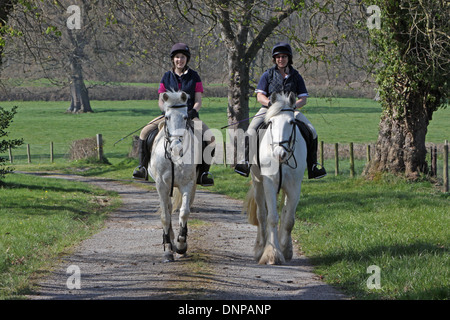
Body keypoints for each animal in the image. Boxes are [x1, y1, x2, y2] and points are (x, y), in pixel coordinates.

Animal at [149, 90, 197, 262]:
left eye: (185, 117)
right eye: (167, 117)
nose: (177, 148)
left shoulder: (187, 184)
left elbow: (184, 212)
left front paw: (181, 244)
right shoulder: (161, 186)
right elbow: (165, 216)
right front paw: (168, 249)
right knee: (168, 210)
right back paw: (169, 241)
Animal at [244, 92, 308, 264]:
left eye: (291, 122)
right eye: (271, 122)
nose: (280, 153)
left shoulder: (294, 187)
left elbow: (288, 220)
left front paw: (285, 250)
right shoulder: (269, 184)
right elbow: (271, 217)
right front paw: (272, 254)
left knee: (284, 213)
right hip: (258, 184)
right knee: (261, 215)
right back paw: (260, 248)